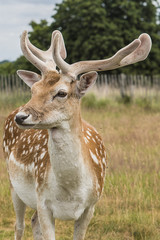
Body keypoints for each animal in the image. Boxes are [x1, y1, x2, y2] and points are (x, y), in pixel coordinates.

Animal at [3, 30, 152, 240]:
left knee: (32, 221)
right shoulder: (43, 201)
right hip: (13, 182)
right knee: (19, 225)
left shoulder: (90, 206)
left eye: (61, 93)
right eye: (33, 89)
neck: (70, 192)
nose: (21, 116)